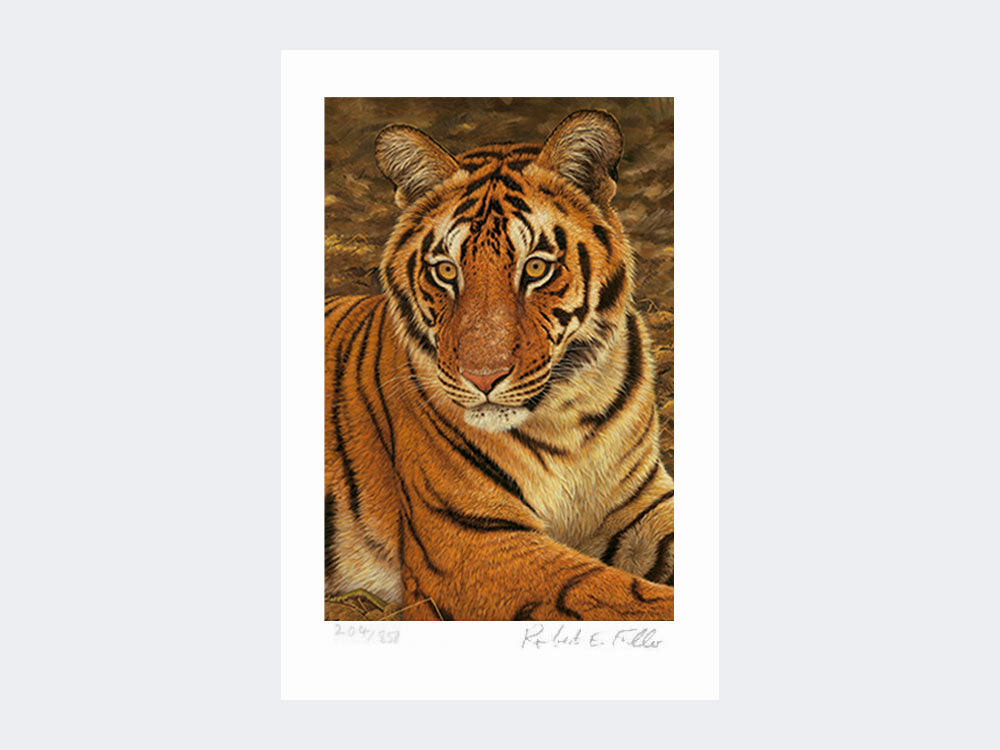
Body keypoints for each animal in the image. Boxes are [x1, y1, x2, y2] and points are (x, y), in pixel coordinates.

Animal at [326, 110, 674, 620]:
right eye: (446, 271)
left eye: (536, 268)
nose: (482, 377)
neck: (568, 415)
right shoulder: (474, 540)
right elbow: (615, 595)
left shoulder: (644, 502)